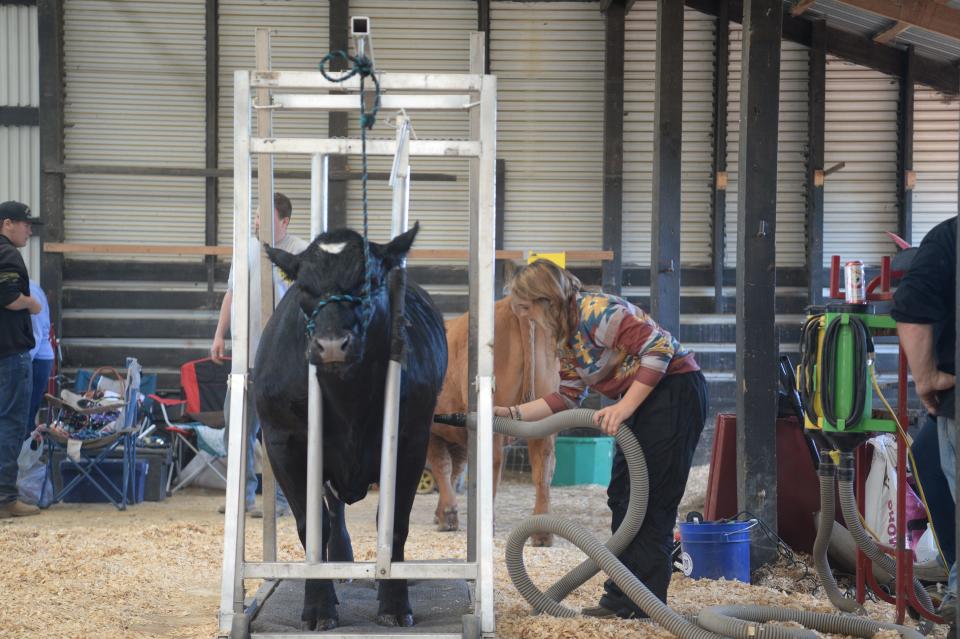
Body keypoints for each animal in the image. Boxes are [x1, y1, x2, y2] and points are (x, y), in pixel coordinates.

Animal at [426, 298, 560, 548]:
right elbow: (455, 469)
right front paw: (443, 512)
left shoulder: (433, 431)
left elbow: (443, 467)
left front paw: (446, 516)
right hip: (545, 415)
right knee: (544, 468)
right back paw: (542, 533)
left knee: (494, 463)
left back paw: (488, 524)